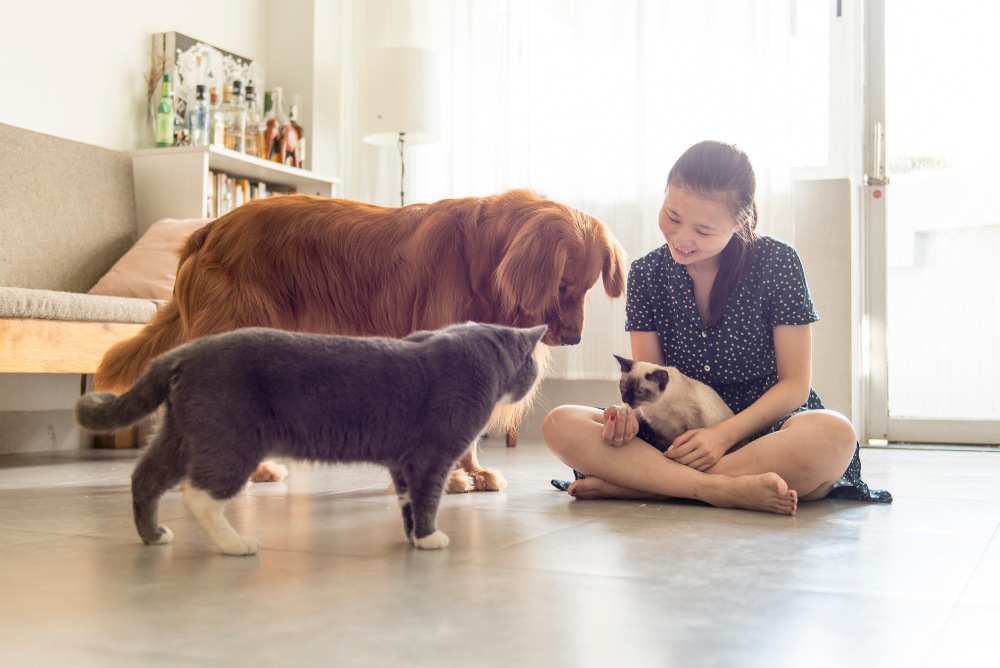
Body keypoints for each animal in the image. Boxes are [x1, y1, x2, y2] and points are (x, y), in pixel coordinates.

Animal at [76, 322, 548, 552]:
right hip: (230, 441)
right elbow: (428, 497)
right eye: (531, 366)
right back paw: (236, 544)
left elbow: (408, 502)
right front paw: (431, 539)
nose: (534, 380)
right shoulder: (431, 457)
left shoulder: (403, 463)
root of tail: (182, 352)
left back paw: (153, 536)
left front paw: (415, 537)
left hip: (182, 435)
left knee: (145, 478)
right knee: (199, 495)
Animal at [95, 188, 624, 490]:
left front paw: (472, 472)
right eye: (563, 286)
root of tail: (204, 231)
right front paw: (450, 477)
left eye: (588, 288)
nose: (574, 339)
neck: (483, 264)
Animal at [608, 352, 736, 452]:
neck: (655, 405)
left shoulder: (686, 427)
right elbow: (661, 447)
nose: (626, 400)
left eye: (639, 392)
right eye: (624, 387)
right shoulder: (659, 429)